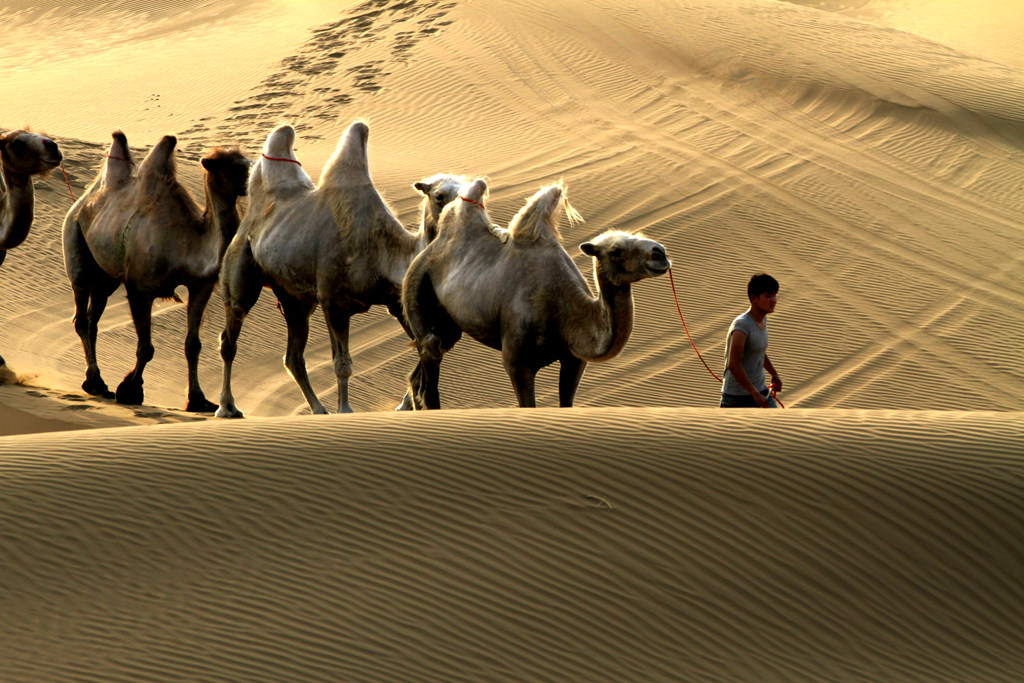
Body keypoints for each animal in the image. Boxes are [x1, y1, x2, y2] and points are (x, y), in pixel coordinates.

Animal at [62, 130, 250, 409]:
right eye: (237, 167)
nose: (256, 178)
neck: (188, 246)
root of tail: (85, 199)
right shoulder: (140, 286)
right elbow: (146, 347)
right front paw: (130, 390)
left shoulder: (201, 286)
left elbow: (192, 345)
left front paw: (198, 399)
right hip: (75, 245)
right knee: (81, 317)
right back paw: (95, 382)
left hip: (107, 277)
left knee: (93, 318)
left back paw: (99, 383)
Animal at [220, 121, 468, 417]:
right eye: (439, 196)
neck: (384, 252)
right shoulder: (333, 299)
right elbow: (342, 363)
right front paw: (346, 410)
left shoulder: (395, 301)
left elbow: (426, 345)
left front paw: (407, 404)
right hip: (241, 267)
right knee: (230, 337)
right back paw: (227, 407)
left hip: (295, 298)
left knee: (293, 355)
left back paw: (318, 409)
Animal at [399, 179, 671, 409]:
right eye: (615, 251)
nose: (660, 253)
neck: (566, 310)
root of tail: (432, 245)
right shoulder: (517, 361)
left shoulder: (574, 359)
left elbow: (566, 403)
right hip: (417, 284)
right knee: (430, 354)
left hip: (450, 323)